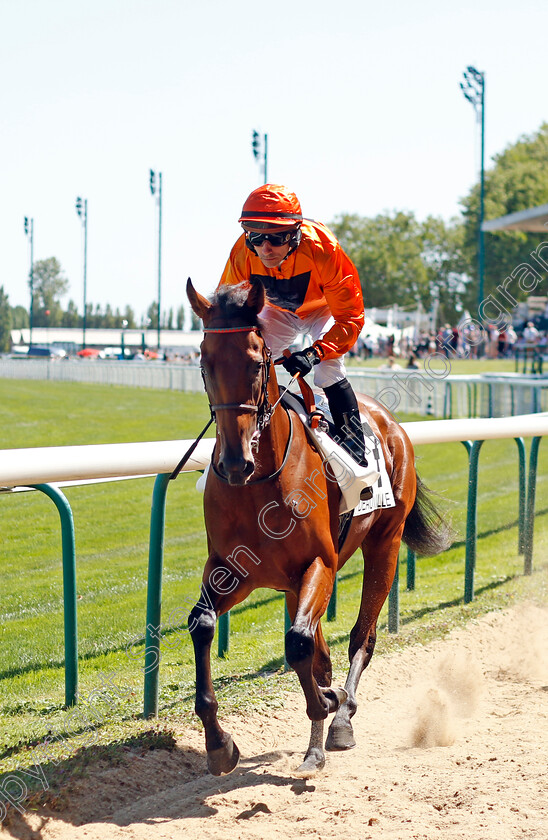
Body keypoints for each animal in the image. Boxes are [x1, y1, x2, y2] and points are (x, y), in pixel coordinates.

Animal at [184, 278, 450, 776]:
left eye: (256, 362)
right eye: (205, 362)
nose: (234, 463)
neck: (258, 482)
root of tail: (390, 422)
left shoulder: (319, 563)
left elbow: (300, 643)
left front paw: (326, 708)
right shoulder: (232, 570)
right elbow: (204, 624)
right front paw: (218, 741)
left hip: (383, 544)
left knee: (360, 638)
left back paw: (340, 720)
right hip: (295, 583)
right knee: (317, 650)